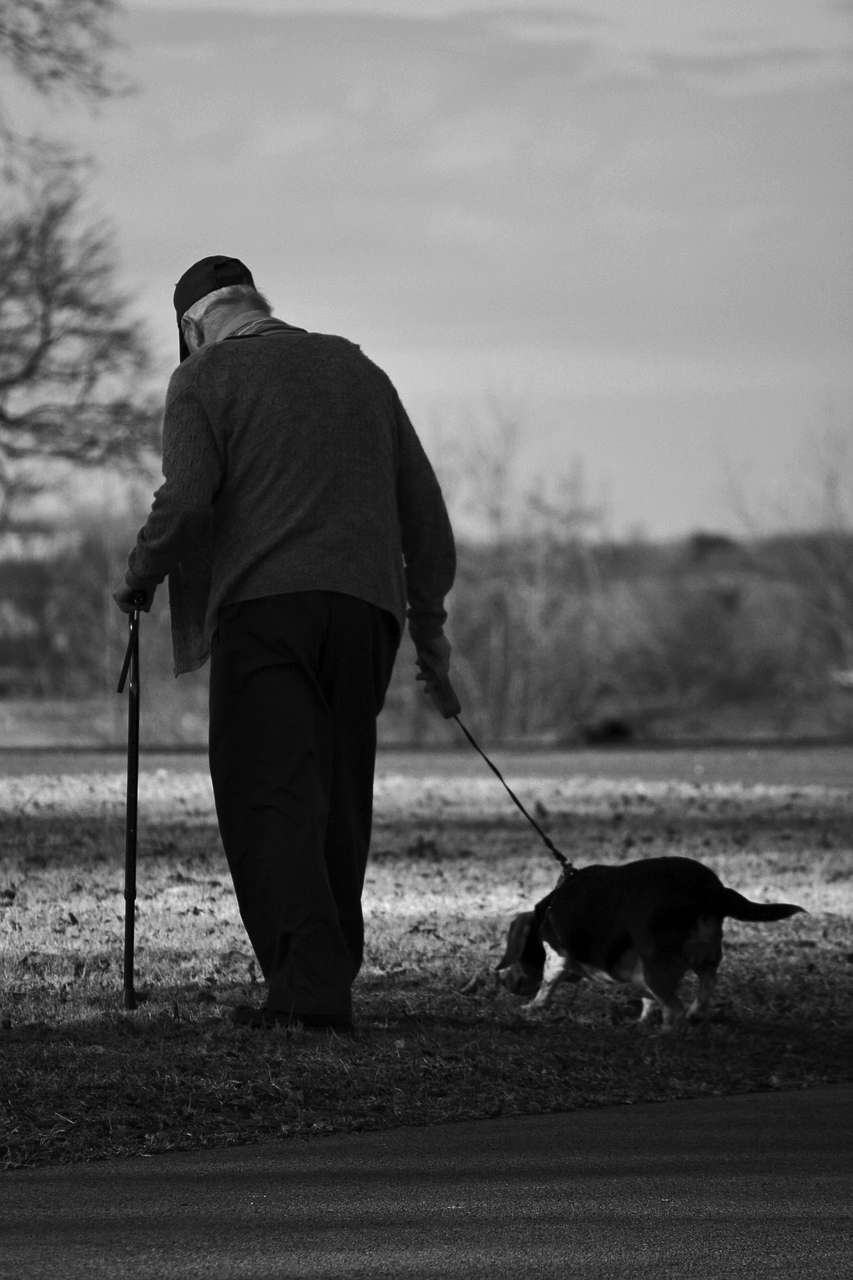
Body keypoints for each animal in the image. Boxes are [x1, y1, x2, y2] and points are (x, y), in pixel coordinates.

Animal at [494, 855, 799, 1024]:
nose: (504, 982)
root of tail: (712, 890)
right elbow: (647, 997)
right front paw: (642, 1018)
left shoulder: (557, 957)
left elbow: (547, 985)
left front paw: (532, 1007)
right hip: (703, 956)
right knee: (705, 985)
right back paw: (694, 1015)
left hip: (657, 963)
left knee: (675, 1008)